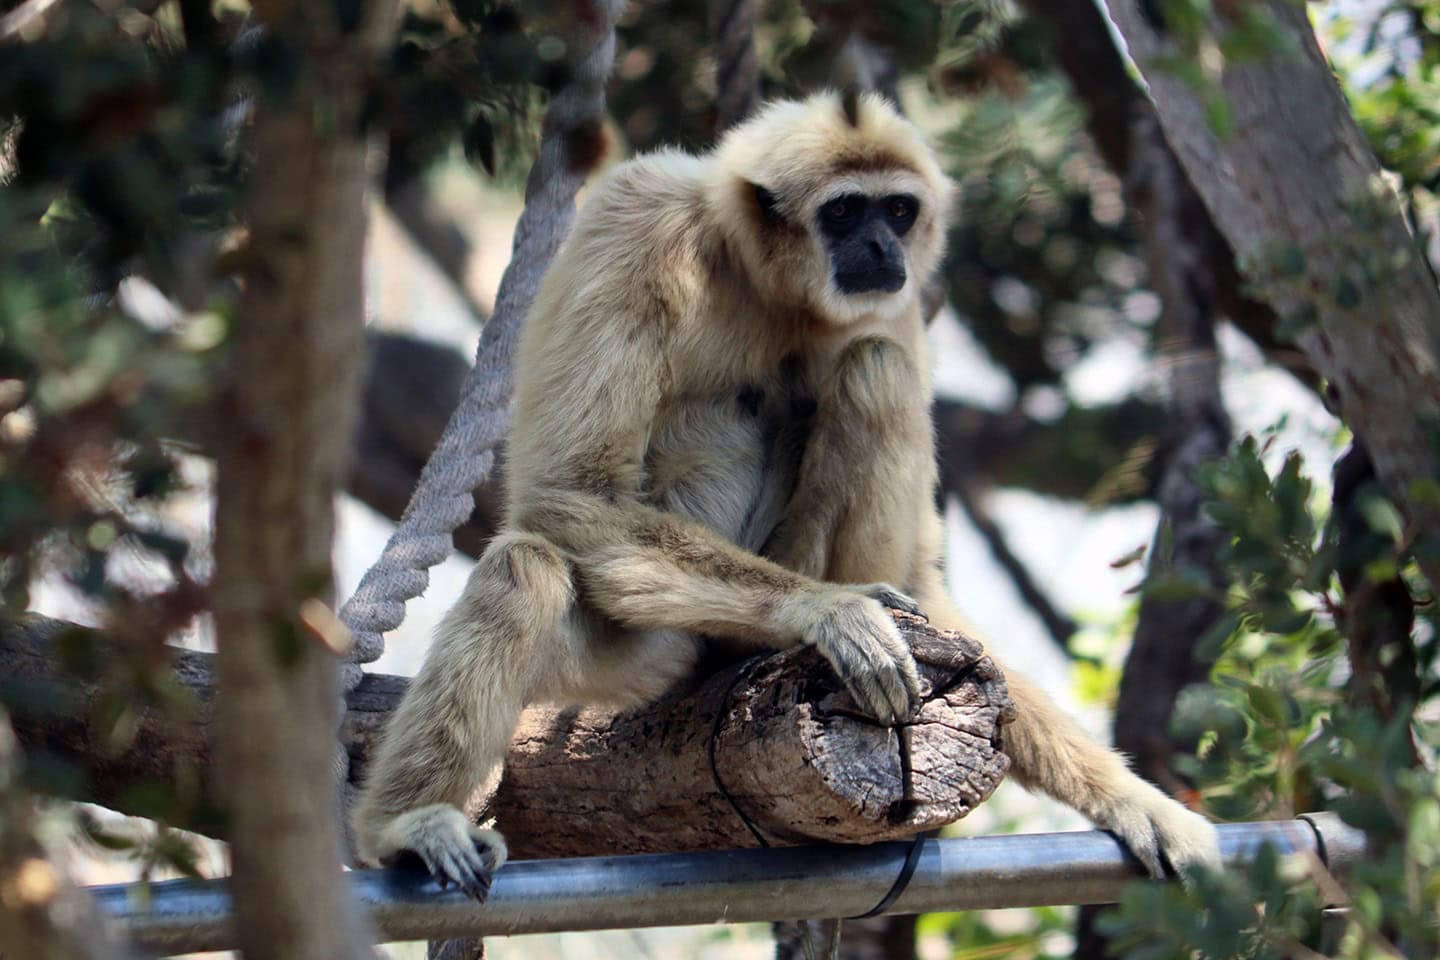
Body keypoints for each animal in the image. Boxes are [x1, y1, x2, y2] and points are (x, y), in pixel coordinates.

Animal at [352, 91, 1221, 900]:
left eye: (897, 210)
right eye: (844, 212)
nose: (880, 244)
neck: (757, 276)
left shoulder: (900, 298)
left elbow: (923, 573)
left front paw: (1136, 801)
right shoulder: (636, 219)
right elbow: (571, 488)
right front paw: (828, 611)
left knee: (875, 367)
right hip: (636, 663)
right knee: (525, 568)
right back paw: (407, 825)